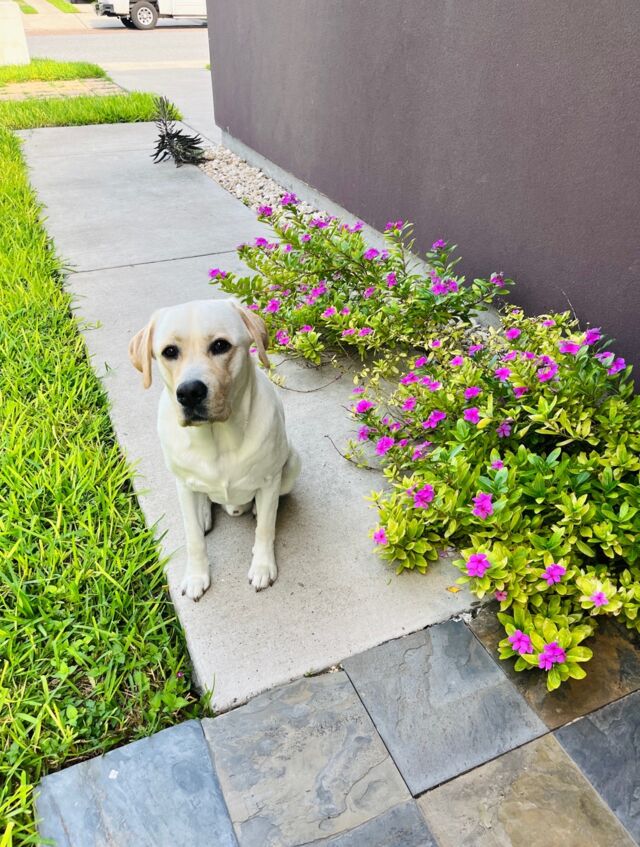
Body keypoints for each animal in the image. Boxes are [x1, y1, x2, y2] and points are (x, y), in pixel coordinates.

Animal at [128, 298, 301, 600]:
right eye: (169, 351)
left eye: (221, 345)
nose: (189, 392)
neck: (218, 439)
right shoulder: (183, 485)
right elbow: (193, 537)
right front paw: (197, 576)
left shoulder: (269, 480)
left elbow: (265, 529)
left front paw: (262, 566)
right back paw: (205, 514)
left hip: (292, 463)